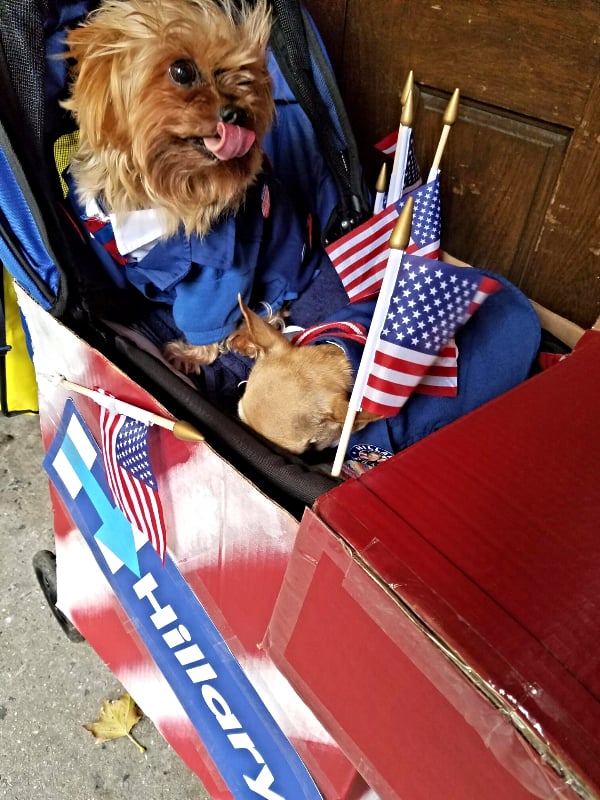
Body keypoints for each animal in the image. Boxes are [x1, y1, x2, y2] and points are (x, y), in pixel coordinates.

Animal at [64, 0, 310, 374]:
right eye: (181, 71)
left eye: (246, 77)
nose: (239, 114)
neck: (157, 190)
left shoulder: (223, 262)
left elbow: (208, 311)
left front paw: (190, 354)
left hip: (282, 260)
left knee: (272, 302)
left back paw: (247, 335)